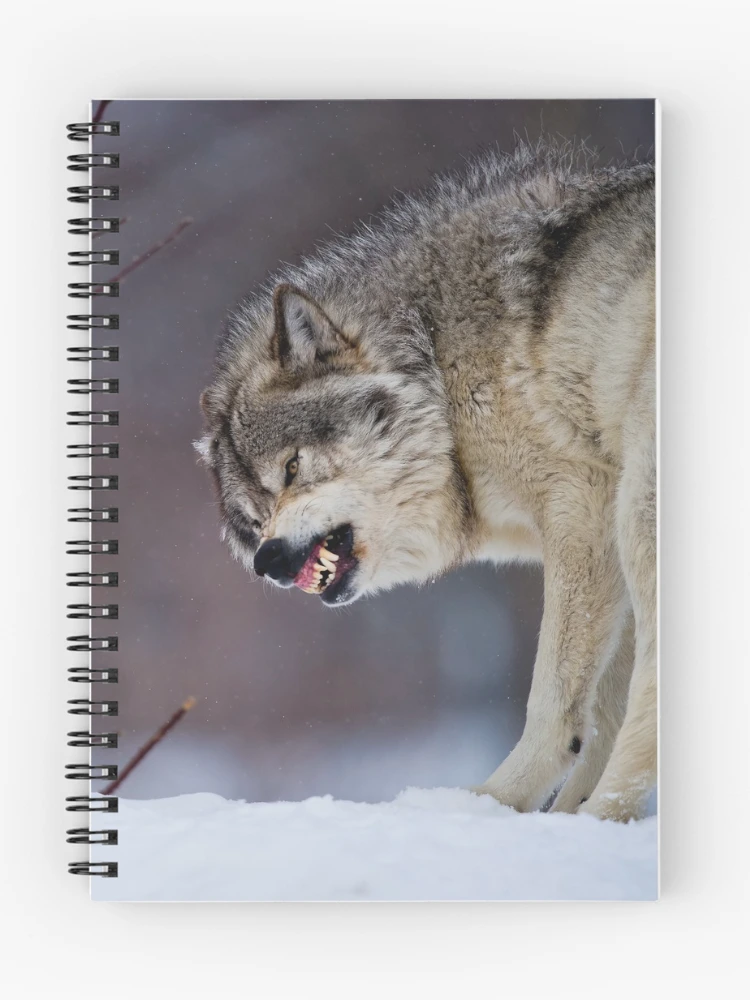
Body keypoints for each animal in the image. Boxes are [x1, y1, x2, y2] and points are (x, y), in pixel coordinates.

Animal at [197, 141, 656, 823]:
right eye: (254, 517)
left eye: (291, 469)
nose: (269, 561)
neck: (438, 360)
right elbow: (600, 713)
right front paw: (567, 823)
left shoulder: (583, 509)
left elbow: (557, 700)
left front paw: (501, 807)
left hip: (639, 510)